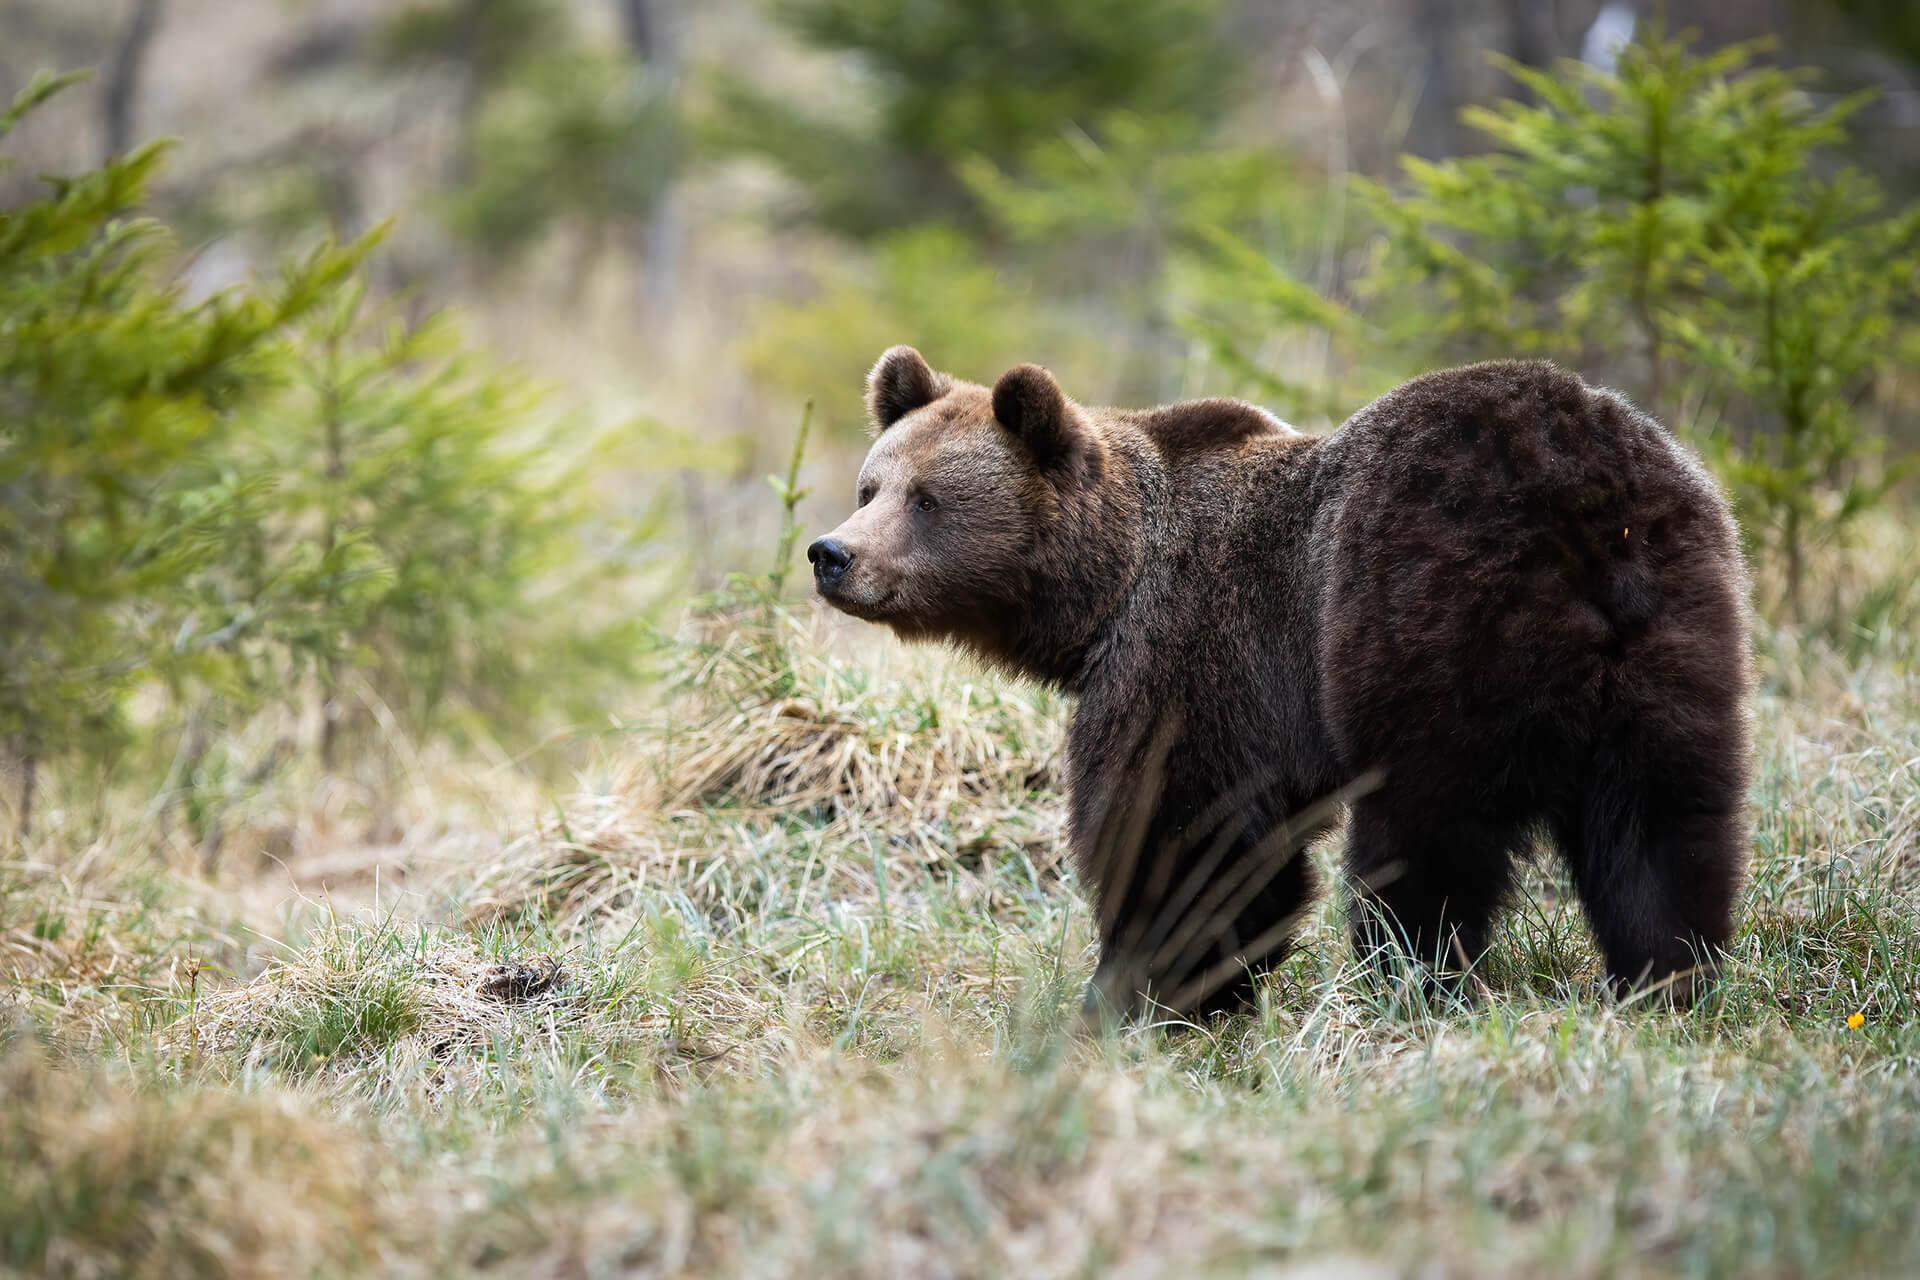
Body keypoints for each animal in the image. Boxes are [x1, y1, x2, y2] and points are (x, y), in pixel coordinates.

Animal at [802, 345, 1751, 1013]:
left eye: (928, 499)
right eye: (871, 484)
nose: (831, 553)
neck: (1103, 593)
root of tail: (1586, 500)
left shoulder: (1194, 655)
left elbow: (1187, 832)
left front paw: (1135, 992)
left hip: (1421, 614)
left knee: (1427, 831)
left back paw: (1414, 978)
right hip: (1676, 627)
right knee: (1663, 820)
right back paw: (1667, 973)